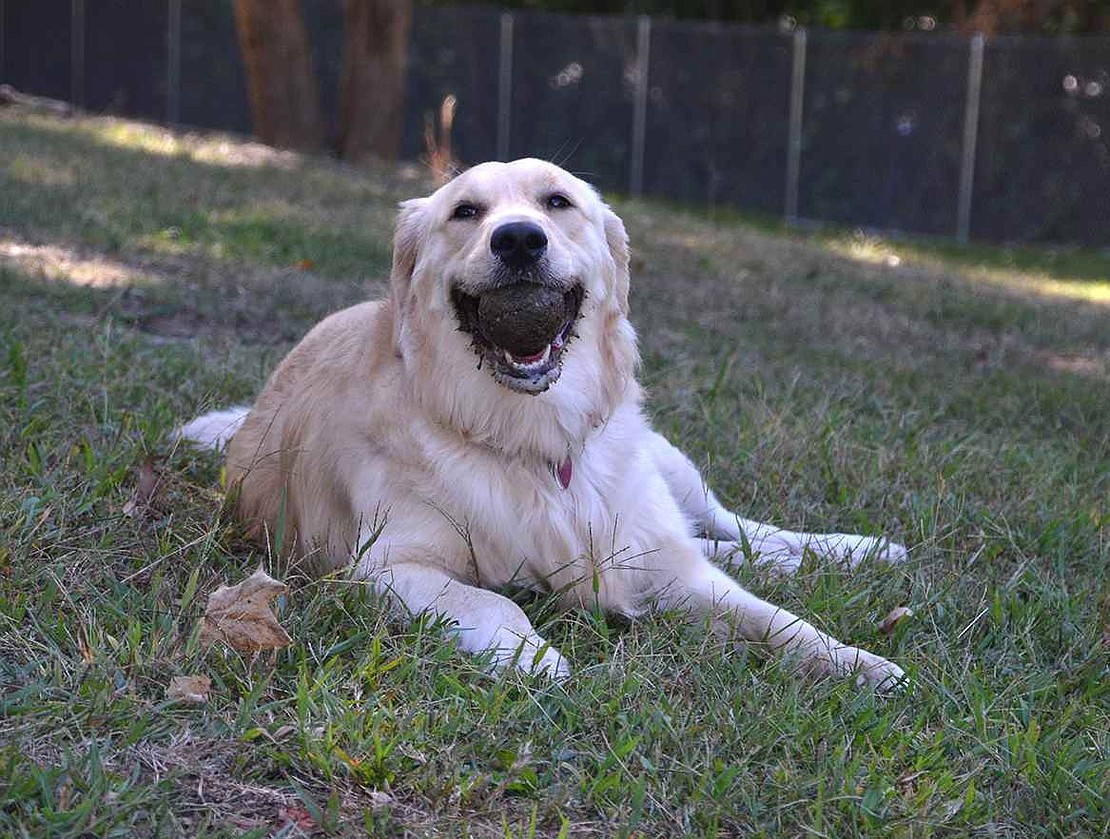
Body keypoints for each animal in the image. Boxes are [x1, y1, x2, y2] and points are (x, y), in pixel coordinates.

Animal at [182, 157, 905, 688]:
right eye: (465, 212)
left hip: (665, 465)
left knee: (740, 530)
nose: (519, 239)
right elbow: (491, 599)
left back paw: (858, 549)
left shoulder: (660, 555)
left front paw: (856, 661)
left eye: (557, 202)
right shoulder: (389, 563)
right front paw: (538, 657)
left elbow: (774, 617)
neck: (529, 434)